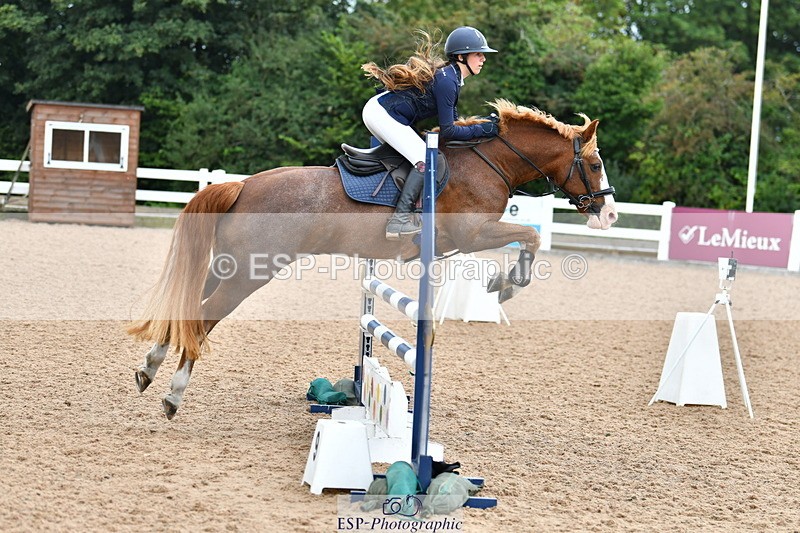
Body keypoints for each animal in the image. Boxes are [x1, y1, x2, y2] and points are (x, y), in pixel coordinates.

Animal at [128, 98, 618, 419]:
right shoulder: (474, 232)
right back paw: (173, 395)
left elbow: (527, 238)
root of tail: (243, 185)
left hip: (227, 266)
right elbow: (529, 238)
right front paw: (505, 286)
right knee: (204, 318)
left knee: (189, 309)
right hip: (250, 273)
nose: (609, 214)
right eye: (595, 165)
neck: (487, 163)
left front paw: (502, 284)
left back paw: (149, 369)